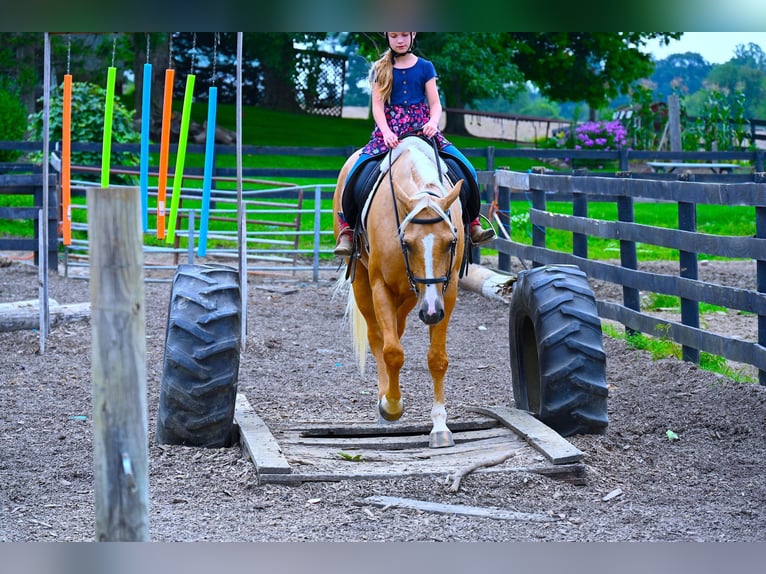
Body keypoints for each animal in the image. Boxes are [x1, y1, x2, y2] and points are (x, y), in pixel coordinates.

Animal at [334, 136, 468, 450]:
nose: (430, 311)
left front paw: (440, 426)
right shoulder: (380, 286)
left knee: (396, 328)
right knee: (378, 338)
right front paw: (391, 406)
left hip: (409, 298)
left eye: (451, 242)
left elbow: (437, 358)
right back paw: (384, 399)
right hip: (364, 284)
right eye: (406, 243)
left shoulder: (447, 291)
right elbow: (392, 351)